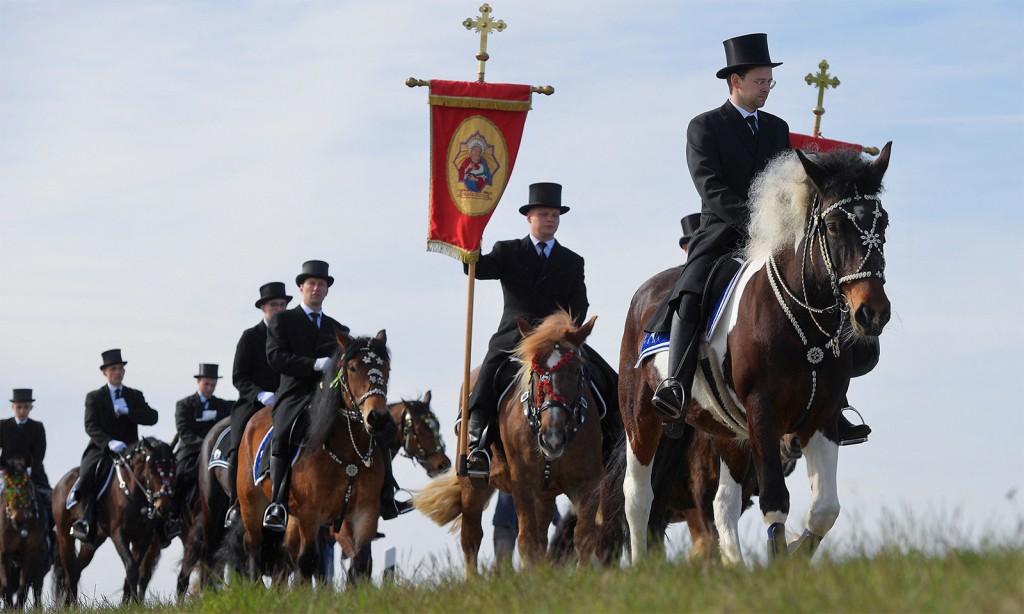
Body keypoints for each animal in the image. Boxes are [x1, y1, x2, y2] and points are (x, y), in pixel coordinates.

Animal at [0, 458, 48, 605]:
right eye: (7, 486)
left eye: (27, 484)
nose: (18, 518)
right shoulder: (2, 553)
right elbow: (5, 588)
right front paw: (9, 607)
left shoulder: (29, 554)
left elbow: (23, 587)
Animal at [51, 437, 176, 605]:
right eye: (151, 470)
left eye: (174, 469)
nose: (164, 507)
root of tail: (60, 484)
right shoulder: (118, 533)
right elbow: (131, 568)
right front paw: (132, 605)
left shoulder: (143, 537)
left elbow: (134, 569)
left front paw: (129, 603)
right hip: (64, 535)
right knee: (69, 571)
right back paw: (67, 605)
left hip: (92, 541)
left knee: (76, 570)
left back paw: (73, 605)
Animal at [230, 329, 389, 581]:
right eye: (353, 368)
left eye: (386, 367)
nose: (378, 418)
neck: (348, 453)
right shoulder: (311, 515)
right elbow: (308, 562)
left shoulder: (365, 511)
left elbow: (362, 562)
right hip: (251, 504)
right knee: (253, 544)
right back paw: (255, 585)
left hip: (291, 515)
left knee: (285, 554)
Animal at [415, 311, 606, 577]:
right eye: (535, 373)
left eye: (578, 372)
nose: (552, 439)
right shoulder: (523, 484)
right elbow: (526, 541)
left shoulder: (588, 482)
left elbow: (584, 536)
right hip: (472, 485)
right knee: (471, 537)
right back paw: (472, 580)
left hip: (545, 494)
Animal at [618, 144, 892, 564]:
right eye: (833, 227)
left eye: (884, 225)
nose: (872, 312)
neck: (801, 321)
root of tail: (645, 295)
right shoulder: (764, 413)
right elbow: (775, 501)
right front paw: (779, 563)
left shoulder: (822, 417)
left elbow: (824, 510)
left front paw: (794, 553)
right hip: (641, 418)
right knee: (637, 497)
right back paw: (640, 566)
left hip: (731, 432)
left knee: (722, 504)